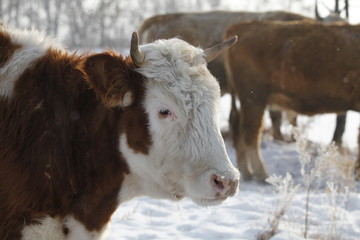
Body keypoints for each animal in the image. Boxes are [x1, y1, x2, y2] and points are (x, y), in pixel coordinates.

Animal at [224, 20, 360, 181]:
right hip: (254, 98)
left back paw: (246, 172)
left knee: (239, 129)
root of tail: (240, 26)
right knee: (251, 133)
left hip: (246, 100)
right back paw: (262, 175)